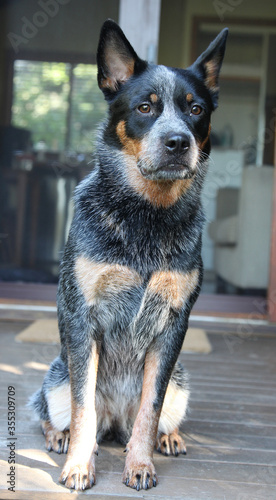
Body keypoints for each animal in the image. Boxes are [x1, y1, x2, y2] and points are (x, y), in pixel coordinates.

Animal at [30, 20, 229, 492]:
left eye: (196, 110)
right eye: (145, 107)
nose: (178, 141)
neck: (146, 217)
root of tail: (114, 422)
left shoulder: (174, 322)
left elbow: (149, 409)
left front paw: (140, 463)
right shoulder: (82, 316)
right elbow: (82, 407)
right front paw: (79, 466)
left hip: (181, 381)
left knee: (154, 417)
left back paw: (169, 438)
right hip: (56, 374)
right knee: (51, 410)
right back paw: (60, 437)